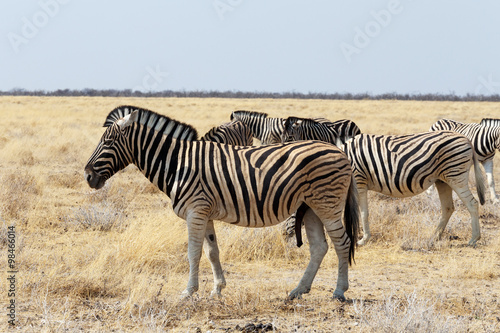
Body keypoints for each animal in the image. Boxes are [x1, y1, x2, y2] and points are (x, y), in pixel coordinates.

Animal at [85, 105, 360, 300]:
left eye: (108, 142)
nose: (87, 176)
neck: (177, 163)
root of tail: (340, 151)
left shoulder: (195, 211)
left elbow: (193, 252)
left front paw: (188, 291)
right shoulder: (204, 212)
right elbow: (212, 252)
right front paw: (217, 289)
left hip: (327, 204)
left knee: (342, 243)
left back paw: (339, 292)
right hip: (311, 206)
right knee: (320, 247)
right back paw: (298, 290)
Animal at [284, 118, 486, 245]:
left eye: (291, 210)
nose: (285, 237)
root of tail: (466, 139)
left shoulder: (358, 181)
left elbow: (362, 212)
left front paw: (362, 239)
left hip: (456, 175)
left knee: (472, 203)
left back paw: (474, 239)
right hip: (442, 180)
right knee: (448, 207)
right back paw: (434, 237)